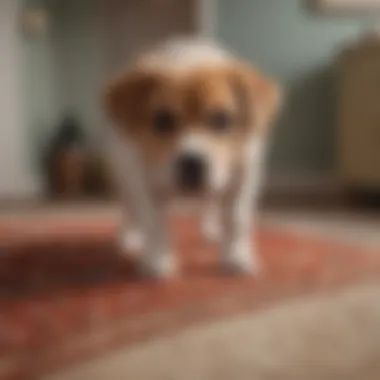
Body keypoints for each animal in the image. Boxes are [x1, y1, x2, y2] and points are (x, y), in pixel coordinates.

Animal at [104, 37, 282, 278]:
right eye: (162, 120)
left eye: (221, 119)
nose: (192, 163)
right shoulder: (146, 181)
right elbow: (155, 223)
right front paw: (157, 260)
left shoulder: (243, 177)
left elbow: (235, 221)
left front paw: (236, 257)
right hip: (125, 179)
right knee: (130, 209)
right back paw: (130, 236)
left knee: (211, 204)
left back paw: (211, 228)